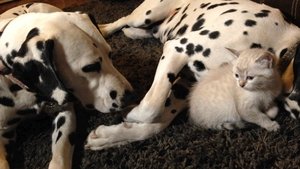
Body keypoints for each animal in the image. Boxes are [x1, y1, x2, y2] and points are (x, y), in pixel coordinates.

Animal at [85, 0, 300, 151]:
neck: (279, 41)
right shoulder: (178, 48)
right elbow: (151, 107)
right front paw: (128, 113)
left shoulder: (187, 85)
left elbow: (155, 123)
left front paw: (108, 136)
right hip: (147, 13)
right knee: (122, 20)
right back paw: (100, 29)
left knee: (145, 30)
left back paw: (135, 33)